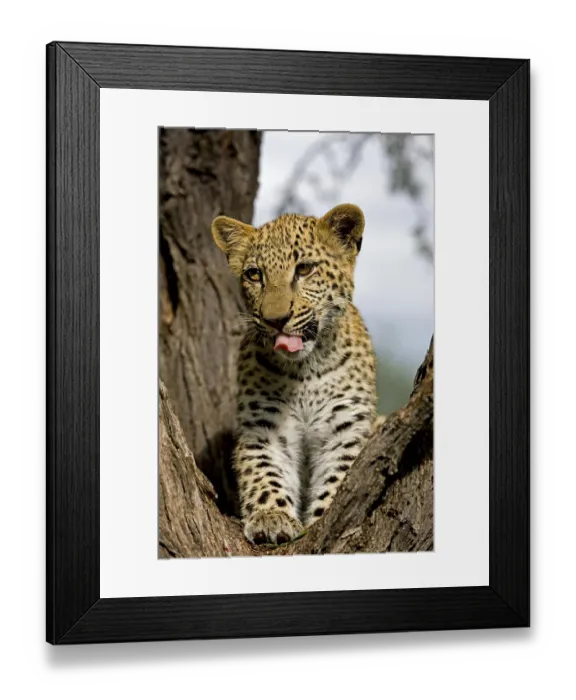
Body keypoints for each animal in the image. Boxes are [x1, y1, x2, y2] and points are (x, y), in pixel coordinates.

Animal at [211, 203, 377, 545]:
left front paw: (320, 520)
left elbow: (339, 479)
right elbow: (264, 472)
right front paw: (271, 518)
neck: (306, 370)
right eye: (254, 275)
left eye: (304, 270)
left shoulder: (345, 430)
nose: (276, 320)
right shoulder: (263, 427)